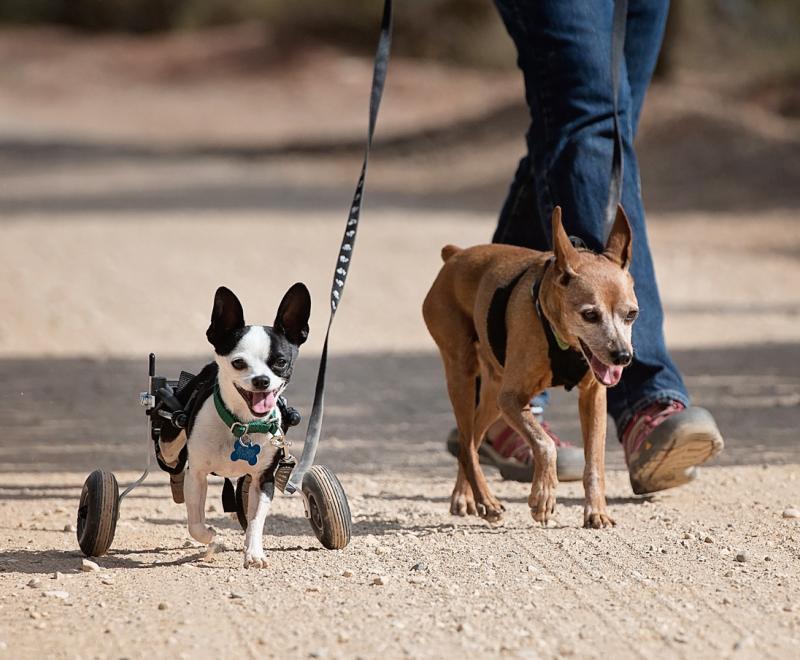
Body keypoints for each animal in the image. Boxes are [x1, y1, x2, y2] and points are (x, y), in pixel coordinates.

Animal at [161, 284, 310, 568]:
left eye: (281, 362)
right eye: (238, 363)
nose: (262, 380)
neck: (242, 426)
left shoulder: (264, 479)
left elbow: (255, 520)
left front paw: (254, 552)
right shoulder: (197, 474)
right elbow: (195, 523)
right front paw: (212, 536)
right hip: (169, 439)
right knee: (171, 459)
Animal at [424, 205, 636, 524]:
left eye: (631, 314)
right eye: (589, 315)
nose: (622, 356)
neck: (563, 342)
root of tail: (455, 256)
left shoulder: (593, 398)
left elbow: (595, 463)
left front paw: (596, 511)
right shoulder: (513, 399)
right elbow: (545, 444)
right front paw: (543, 496)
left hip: (493, 396)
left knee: (470, 440)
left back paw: (465, 495)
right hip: (464, 376)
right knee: (466, 445)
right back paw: (486, 500)